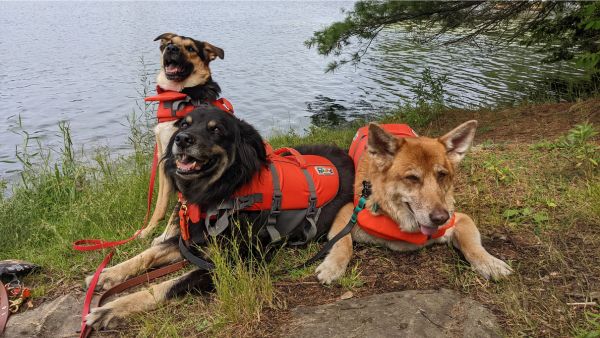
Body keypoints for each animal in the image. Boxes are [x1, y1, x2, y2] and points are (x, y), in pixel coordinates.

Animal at [85, 107, 356, 328]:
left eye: (216, 129)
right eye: (184, 125)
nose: (182, 140)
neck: (222, 193)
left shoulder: (235, 263)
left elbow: (165, 286)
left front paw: (111, 308)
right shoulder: (193, 239)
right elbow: (148, 254)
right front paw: (108, 274)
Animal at [141, 33, 227, 240]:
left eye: (190, 48)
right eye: (170, 43)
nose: (171, 48)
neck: (180, 96)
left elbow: (179, 209)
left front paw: (164, 237)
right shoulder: (165, 162)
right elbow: (160, 205)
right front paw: (148, 230)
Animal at [316, 120, 512, 284]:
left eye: (442, 175)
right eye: (412, 178)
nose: (441, 218)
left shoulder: (461, 219)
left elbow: (473, 246)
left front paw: (490, 262)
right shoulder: (346, 214)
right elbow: (343, 243)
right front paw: (332, 266)